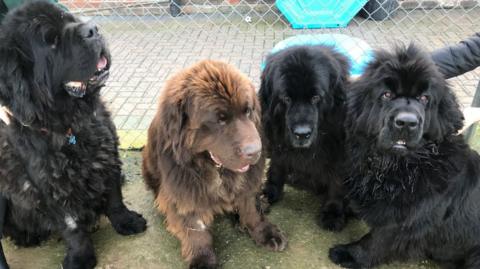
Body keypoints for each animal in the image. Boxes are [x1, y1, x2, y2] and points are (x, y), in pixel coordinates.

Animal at [0, 1, 146, 266]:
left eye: (68, 19)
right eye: (51, 40)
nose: (92, 29)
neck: (71, 126)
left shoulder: (107, 157)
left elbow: (114, 198)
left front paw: (126, 221)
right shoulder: (49, 184)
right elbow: (71, 225)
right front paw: (81, 256)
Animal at [142, 59, 284, 266]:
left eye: (248, 111)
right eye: (220, 119)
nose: (256, 151)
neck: (215, 168)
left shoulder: (248, 182)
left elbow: (251, 207)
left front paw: (264, 232)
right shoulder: (185, 191)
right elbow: (196, 229)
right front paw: (202, 257)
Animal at [260, 45, 350, 229]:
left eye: (316, 97)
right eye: (286, 98)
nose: (302, 133)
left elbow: (337, 181)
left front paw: (333, 211)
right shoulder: (277, 138)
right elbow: (277, 165)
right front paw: (270, 191)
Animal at [330, 44, 480, 268]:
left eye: (425, 98)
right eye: (387, 94)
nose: (407, 122)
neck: (397, 166)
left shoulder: (404, 222)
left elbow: (376, 240)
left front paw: (349, 254)